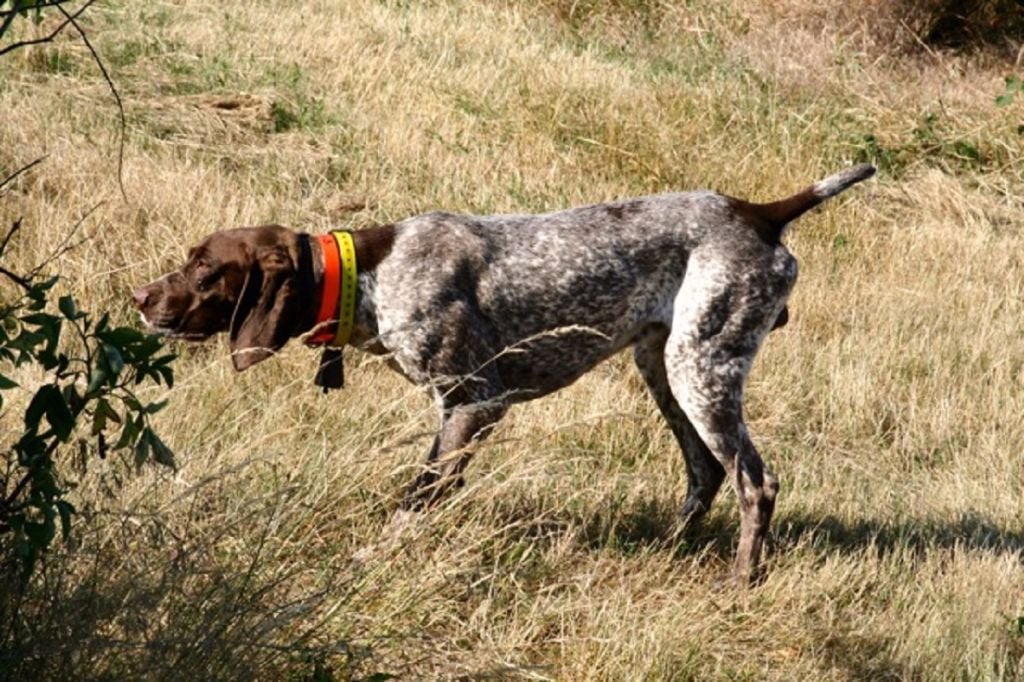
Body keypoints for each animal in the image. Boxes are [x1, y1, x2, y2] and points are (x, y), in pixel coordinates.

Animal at [132, 163, 876, 577]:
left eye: (205, 267)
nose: (140, 297)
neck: (369, 278)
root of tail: (758, 212)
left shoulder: (474, 402)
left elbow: (416, 498)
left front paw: (373, 560)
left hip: (702, 365)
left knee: (755, 480)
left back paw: (742, 582)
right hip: (663, 364)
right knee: (706, 471)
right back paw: (670, 552)